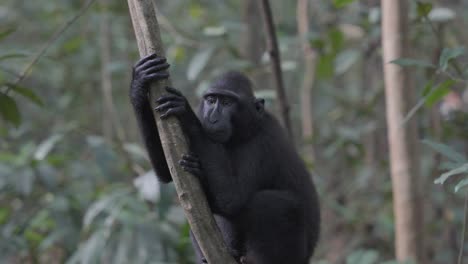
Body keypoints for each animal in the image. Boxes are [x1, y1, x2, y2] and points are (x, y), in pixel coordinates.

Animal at [130, 53, 320, 264]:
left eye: (228, 103)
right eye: (212, 100)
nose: (212, 117)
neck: (238, 136)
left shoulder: (262, 141)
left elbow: (231, 199)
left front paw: (186, 112)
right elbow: (166, 170)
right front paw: (139, 82)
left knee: (274, 204)